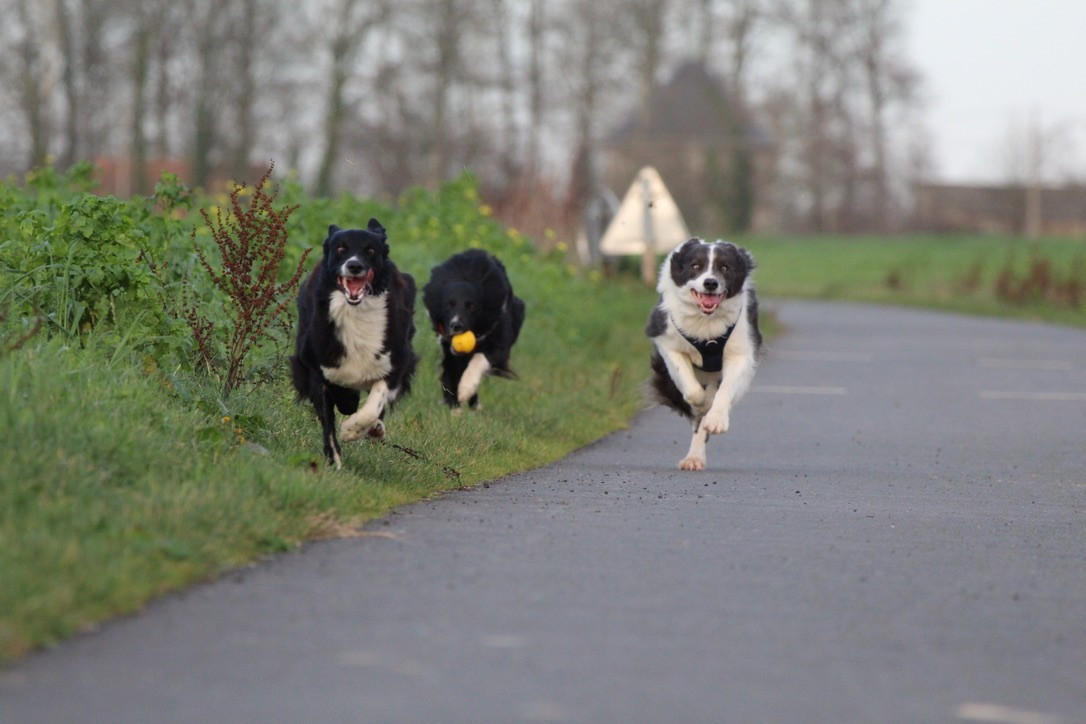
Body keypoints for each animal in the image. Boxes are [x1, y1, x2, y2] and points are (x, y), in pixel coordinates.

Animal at [290, 219, 418, 468]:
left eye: (370, 250)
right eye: (341, 248)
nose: (355, 266)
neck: (356, 311)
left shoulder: (396, 361)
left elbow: (374, 403)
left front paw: (352, 430)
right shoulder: (315, 364)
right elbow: (330, 415)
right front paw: (335, 460)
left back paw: (374, 428)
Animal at [421, 249, 525, 408]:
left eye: (471, 306)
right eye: (448, 305)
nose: (456, 326)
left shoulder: (499, 343)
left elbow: (480, 358)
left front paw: (466, 389)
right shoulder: (449, 349)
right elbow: (452, 373)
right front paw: (455, 405)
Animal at [646, 238, 762, 471]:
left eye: (724, 268)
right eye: (696, 266)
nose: (710, 283)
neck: (706, 321)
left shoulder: (742, 350)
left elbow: (725, 390)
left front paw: (716, 420)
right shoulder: (666, 339)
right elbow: (691, 389)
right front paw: (701, 402)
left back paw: (696, 454)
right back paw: (693, 456)